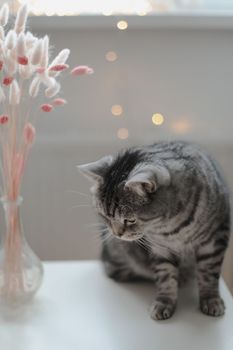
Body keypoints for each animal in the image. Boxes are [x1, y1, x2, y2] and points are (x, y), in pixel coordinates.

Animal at [78, 140, 229, 320]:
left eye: (130, 220)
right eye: (104, 216)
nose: (117, 233)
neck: (171, 225)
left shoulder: (214, 240)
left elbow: (209, 274)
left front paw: (211, 300)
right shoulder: (161, 248)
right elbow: (166, 277)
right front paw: (164, 302)